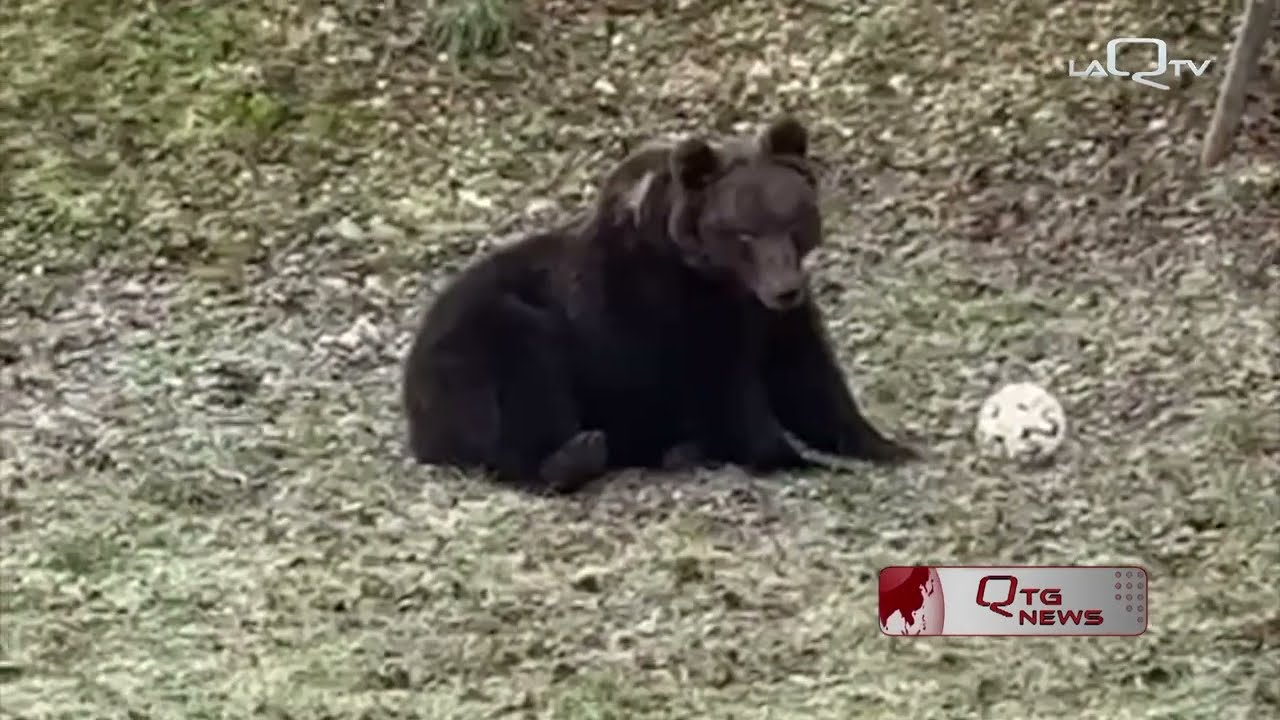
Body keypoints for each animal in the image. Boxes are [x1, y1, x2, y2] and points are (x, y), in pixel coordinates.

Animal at [401, 117, 919, 494]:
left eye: (793, 220)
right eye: (743, 233)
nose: (784, 288)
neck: (720, 280)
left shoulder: (773, 320)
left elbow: (811, 381)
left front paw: (886, 445)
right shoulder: (672, 314)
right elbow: (727, 389)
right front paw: (794, 458)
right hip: (481, 334)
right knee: (520, 375)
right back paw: (576, 455)